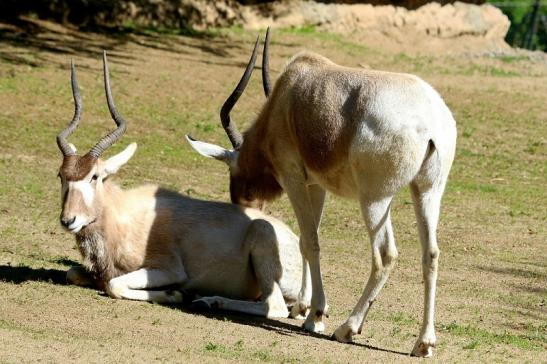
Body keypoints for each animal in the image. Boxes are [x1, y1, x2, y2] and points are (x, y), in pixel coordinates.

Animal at [56, 51, 312, 318]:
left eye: (94, 176)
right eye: (61, 176)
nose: (68, 220)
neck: (121, 215)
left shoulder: (168, 269)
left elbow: (114, 284)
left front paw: (175, 293)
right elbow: (73, 273)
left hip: (263, 239)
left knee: (275, 307)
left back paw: (207, 301)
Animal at [188, 29, 458, 356]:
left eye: (234, 171)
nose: (243, 203)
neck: (286, 97)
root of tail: (431, 122)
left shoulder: (292, 176)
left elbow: (310, 241)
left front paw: (315, 316)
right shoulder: (315, 184)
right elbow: (308, 237)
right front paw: (301, 307)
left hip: (375, 199)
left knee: (385, 255)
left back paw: (347, 328)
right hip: (427, 192)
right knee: (430, 253)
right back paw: (424, 343)